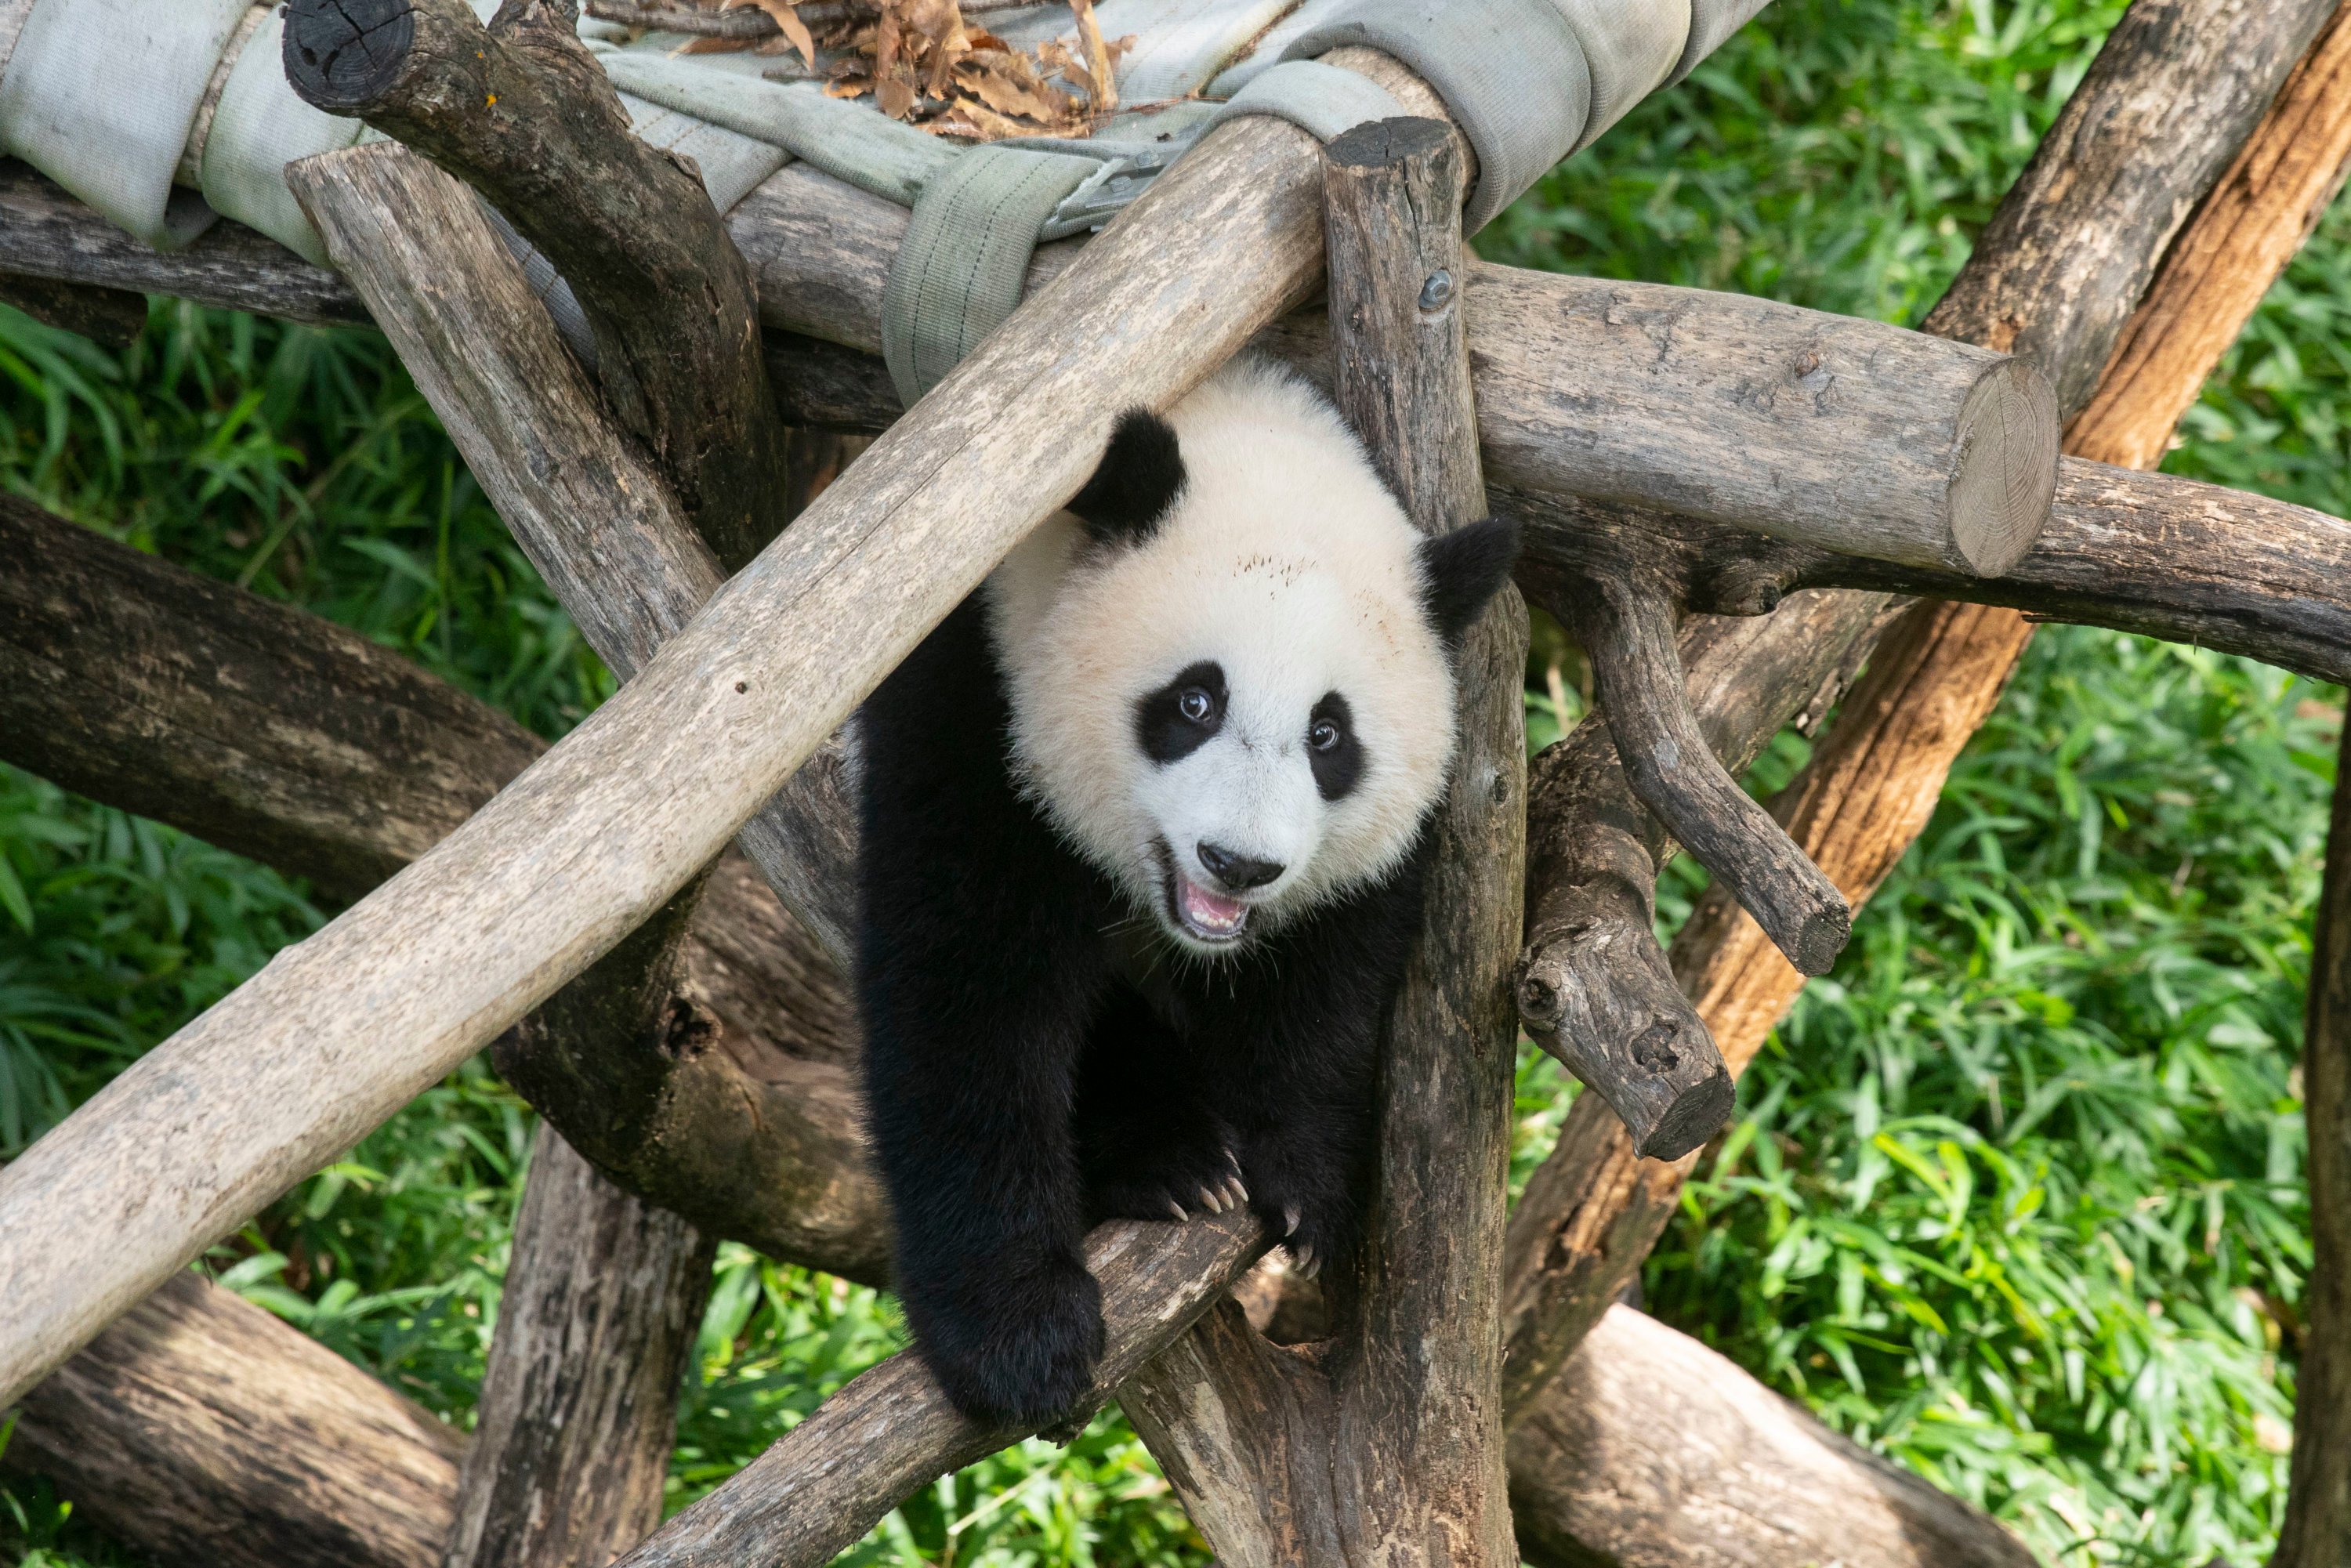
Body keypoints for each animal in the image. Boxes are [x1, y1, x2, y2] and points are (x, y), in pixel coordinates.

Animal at [856, 353, 1514, 1420]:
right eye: (1195, 701)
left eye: (1328, 735)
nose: (1238, 864)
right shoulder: (974, 692)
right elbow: (966, 990)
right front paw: (1019, 1335)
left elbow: (1333, 975)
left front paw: (1307, 1176)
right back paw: (1167, 1157)